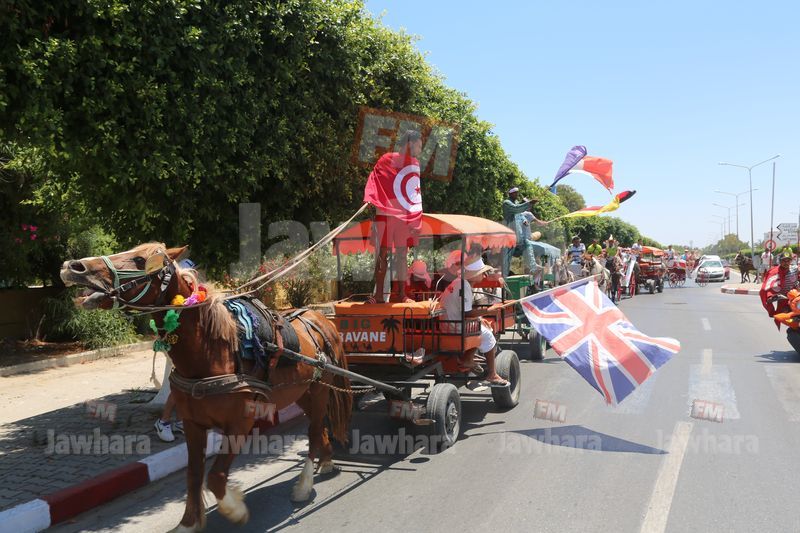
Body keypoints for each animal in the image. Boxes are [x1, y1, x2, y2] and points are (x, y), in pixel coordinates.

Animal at [60, 243, 352, 531]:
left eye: (141, 260)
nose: (73, 266)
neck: (214, 352)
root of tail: (319, 318)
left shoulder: (241, 423)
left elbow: (215, 476)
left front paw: (235, 508)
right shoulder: (193, 424)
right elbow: (194, 474)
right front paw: (189, 522)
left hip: (319, 391)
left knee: (313, 431)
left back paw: (303, 486)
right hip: (302, 393)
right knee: (319, 428)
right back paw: (327, 461)